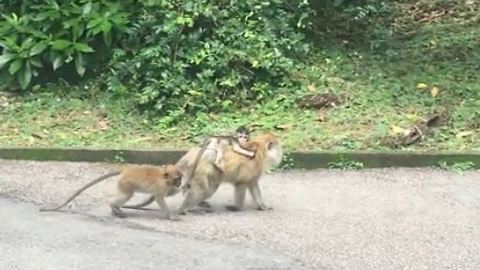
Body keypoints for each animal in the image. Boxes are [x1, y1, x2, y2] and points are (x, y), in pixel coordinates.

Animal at [40, 163, 183, 220]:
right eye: (178, 178)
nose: (180, 183)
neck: (163, 177)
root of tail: (125, 170)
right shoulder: (161, 186)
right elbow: (160, 199)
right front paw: (171, 216)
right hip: (125, 183)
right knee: (126, 195)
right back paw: (113, 206)